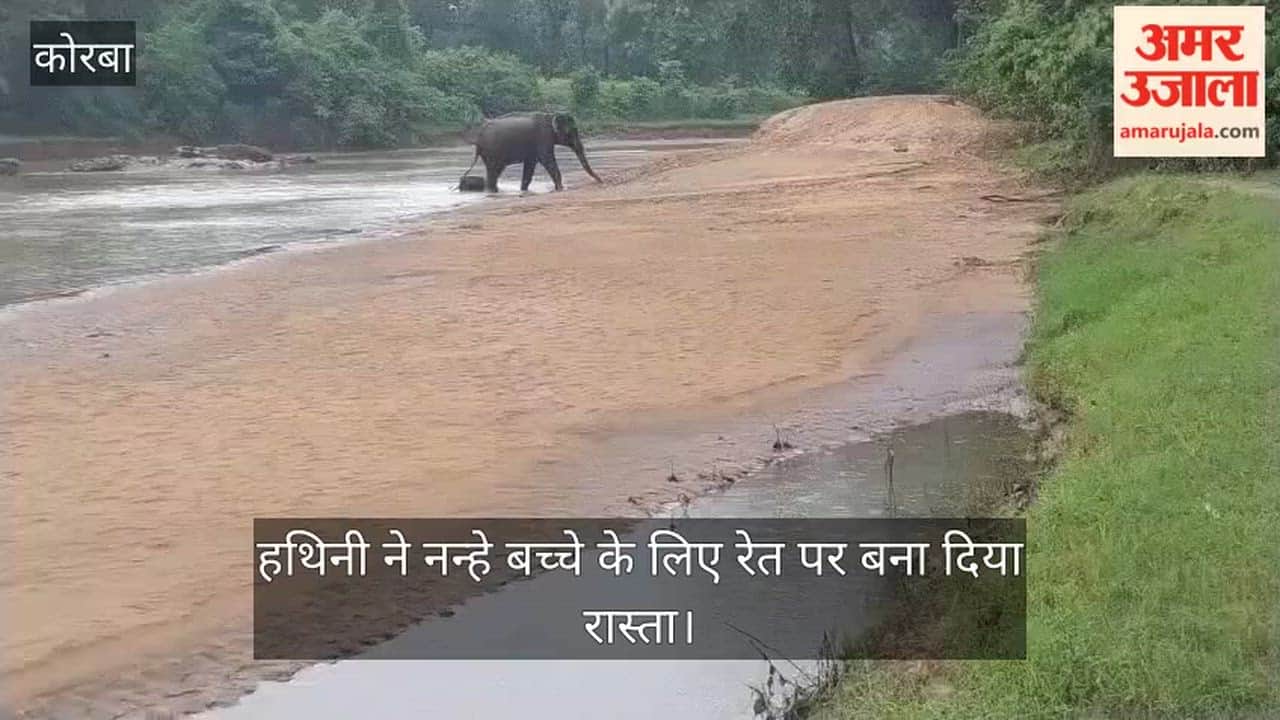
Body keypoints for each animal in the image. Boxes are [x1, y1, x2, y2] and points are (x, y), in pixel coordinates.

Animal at [462, 112, 602, 192]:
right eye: (572, 132)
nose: (601, 181)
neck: (551, 115)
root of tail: (479, 136)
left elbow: (530, 165)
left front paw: (523, 190)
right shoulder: (543, 137)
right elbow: (547, 159)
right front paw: (560, 189)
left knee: (496, 171)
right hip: (492, 150)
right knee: (493, 170)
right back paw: (492, 191)